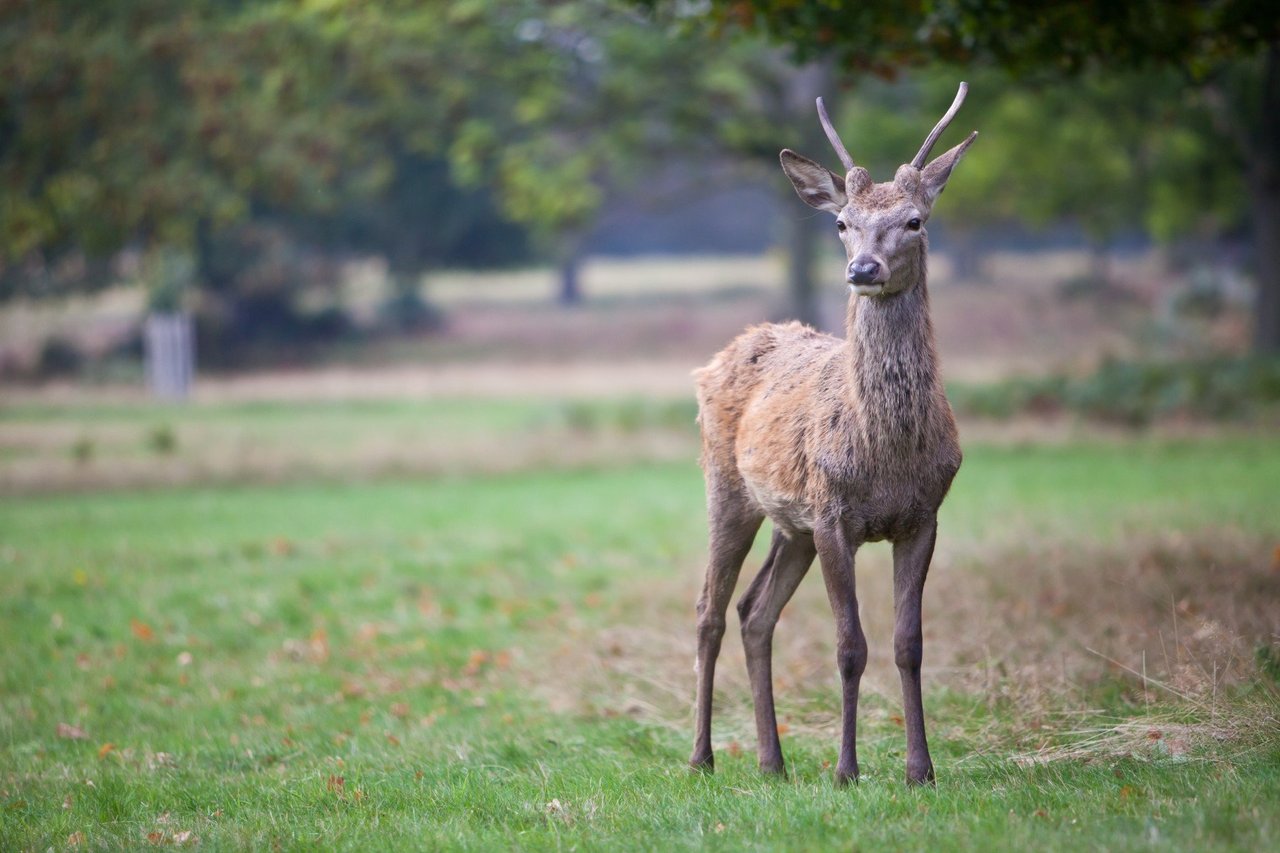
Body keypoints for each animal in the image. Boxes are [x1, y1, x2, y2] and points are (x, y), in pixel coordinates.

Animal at [691, 83, 977, 778]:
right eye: (841, 223)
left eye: (914, 220)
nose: (863, 269)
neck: (886, 455)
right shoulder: (832, 515)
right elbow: (850, 645)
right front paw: (847, 769)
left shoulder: (924, 516)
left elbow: (908, 643)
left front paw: (920, 769)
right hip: (727, 489)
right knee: (710, 610)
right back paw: (702, 758)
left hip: (789, 524)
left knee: (754, 612)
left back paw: (772, 761)